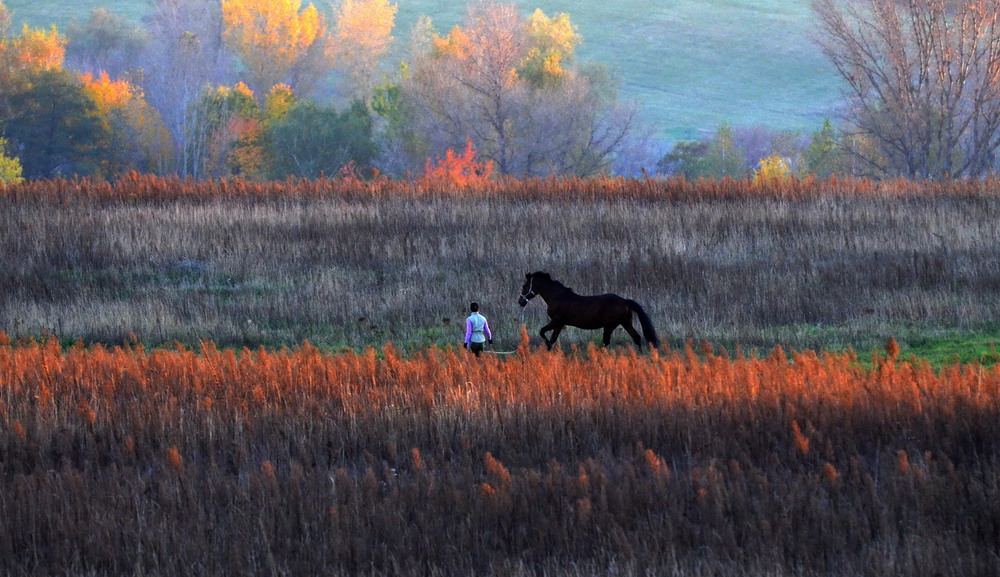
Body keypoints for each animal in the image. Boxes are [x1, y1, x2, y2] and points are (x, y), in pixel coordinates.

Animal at [520, 272, 660, 348]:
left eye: (524, 286)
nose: (520, 301)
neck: (556, 296)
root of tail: (624, 301)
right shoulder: (559, 324)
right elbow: (551, 338)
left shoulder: (556, 322)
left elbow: (543, 333)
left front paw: (547, 345)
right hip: (625, 322)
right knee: (636, 337)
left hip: (610, 325)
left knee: (606, 342)